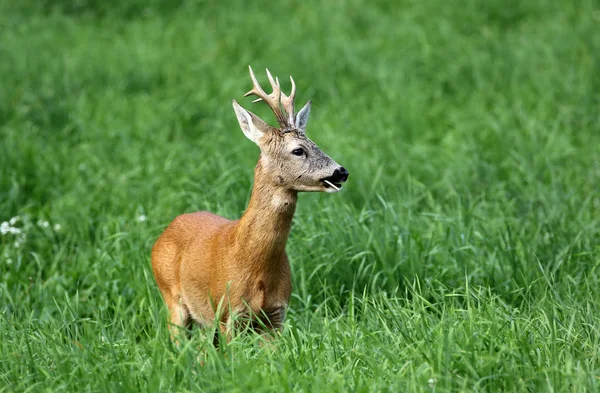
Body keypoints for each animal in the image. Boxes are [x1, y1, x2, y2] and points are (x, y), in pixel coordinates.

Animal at [151, 66, 346, 342]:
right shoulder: (228, 313)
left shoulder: (276, 315)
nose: (341, 172)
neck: (251, 259)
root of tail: (164, 233)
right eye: (298, 150)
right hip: (172, 298)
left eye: (315, 143)